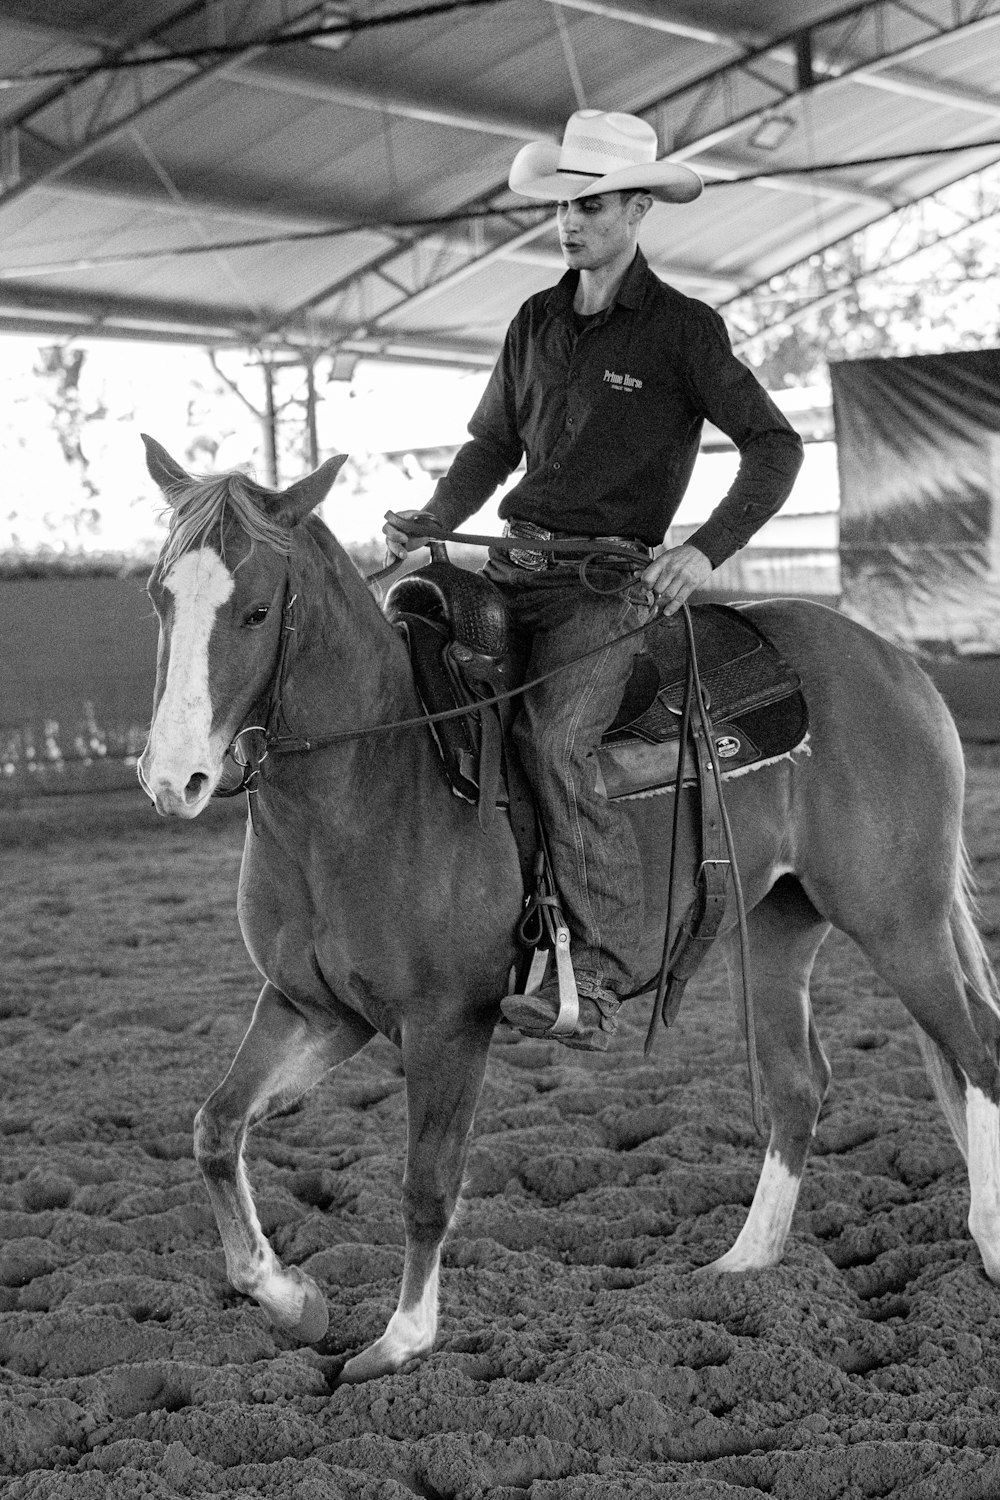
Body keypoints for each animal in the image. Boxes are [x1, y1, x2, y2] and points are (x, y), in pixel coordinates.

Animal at [137, 435, 1000, 1380]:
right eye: (159, 597)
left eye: (256, 611)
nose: (172, 779)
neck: (376, 773)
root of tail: (896, 662)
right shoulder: (314, 1008)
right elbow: (215, 1128)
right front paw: (293, 1299)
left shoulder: (449, 1020)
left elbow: (427, 1183)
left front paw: (402, 1340)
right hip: (780, 926)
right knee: (800, 1085)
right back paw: (743, 1264)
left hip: (899, 920)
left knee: (978, 1057)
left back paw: (988, 1241)